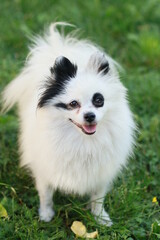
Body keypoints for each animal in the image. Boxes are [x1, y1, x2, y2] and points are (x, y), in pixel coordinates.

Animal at [1, 22, 136, 225]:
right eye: (73, 104)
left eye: (99, 100)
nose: (89, 116)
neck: (82, 140)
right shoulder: (44, 169)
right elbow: (46, 194)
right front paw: (46, 214)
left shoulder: (100, 173)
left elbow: (98, 197)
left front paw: (100, 218)